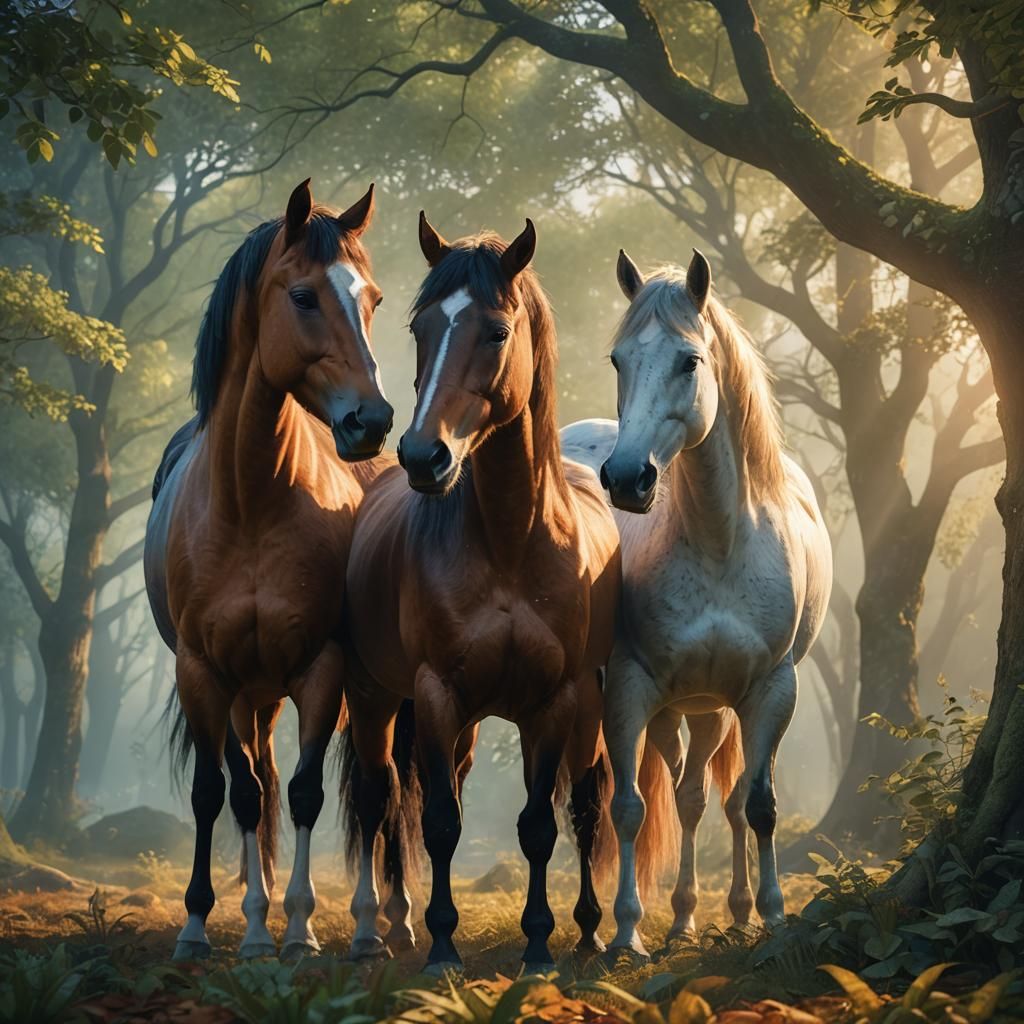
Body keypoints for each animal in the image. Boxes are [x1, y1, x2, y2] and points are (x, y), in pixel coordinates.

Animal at [143, 179, 394, 961]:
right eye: (305, 296)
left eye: (373, 299)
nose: (372, 420)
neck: (249, 502)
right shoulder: (205, 672)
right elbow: (227, 795)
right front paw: (207, 926)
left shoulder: (322, 667)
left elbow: (308, 793)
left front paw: (302, 928)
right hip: (249, 696)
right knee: (250, 782)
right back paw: (252, 918)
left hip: (359, 692)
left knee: (373, 791)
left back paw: (376, 925)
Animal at [341, 215, 676, 973]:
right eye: (420, 326)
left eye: (496, 332)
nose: (422, 457)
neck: (511, 544)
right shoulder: (436, 694)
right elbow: (440, 821)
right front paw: (442, 946)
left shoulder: (553, 702)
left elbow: (538, 826)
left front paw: (541, 945)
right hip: (381, 699)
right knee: (383, 800)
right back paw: (381, 931)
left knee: (580, 807)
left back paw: (586, 929)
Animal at [562, 249, 832, 958]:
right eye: (617, 360)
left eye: (690, 361)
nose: (627, 480)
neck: (718, 540)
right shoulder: (631, 687)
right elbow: (629, 808)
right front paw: (627, 933)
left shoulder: (773, 688)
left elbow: (758, 805)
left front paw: (773, 916)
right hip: (667, 706)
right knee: (670, 795)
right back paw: (665, 919)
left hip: (712, 707)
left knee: (714, 799)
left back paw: (719, 912)